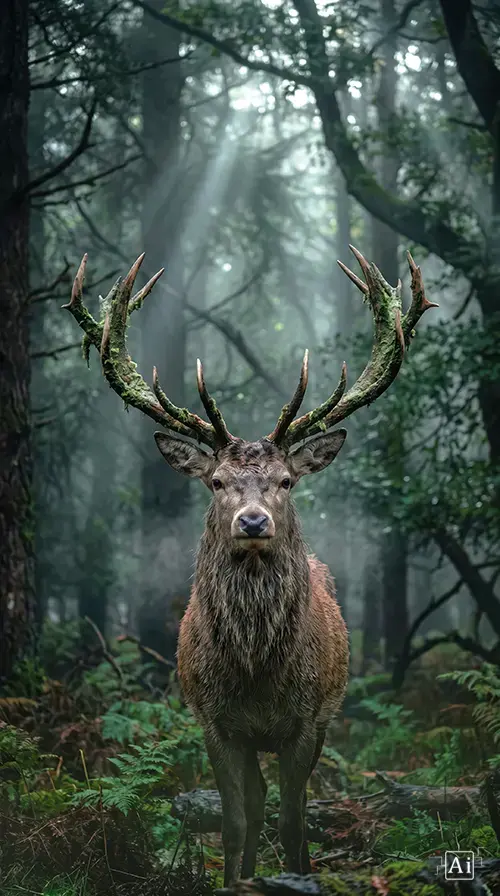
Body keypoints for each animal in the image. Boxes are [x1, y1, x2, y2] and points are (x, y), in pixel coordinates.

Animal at [63, 245, 436, 886]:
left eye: (285, 480)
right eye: (216, 481)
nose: (255, 521)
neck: (258, 672)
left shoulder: (308, 720)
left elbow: (293, 817)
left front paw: (298, 872)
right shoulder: (213, 721)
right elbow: (236, 820)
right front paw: (235, 879)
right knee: (256, 801)